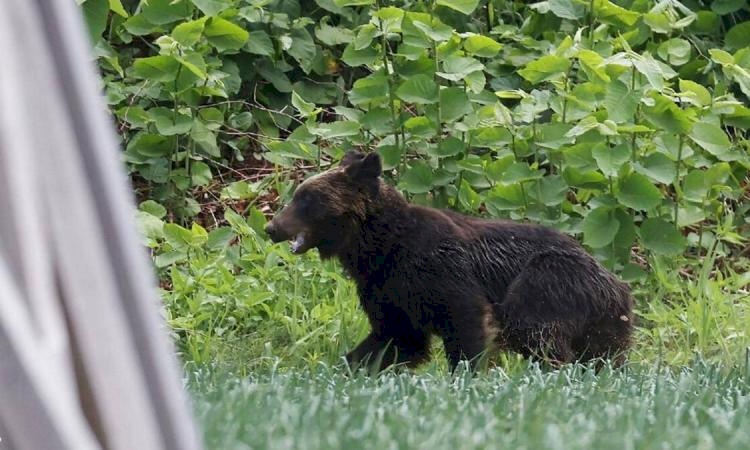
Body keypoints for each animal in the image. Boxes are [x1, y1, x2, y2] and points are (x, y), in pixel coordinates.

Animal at [264, 151, 636, 372]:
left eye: (307, 198)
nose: (271, 227)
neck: (380, 248)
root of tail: (616, 281)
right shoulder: (386, 290)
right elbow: (395, 339)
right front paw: (348, 366)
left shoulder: (440, 271)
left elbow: (466, 323)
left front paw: (466, 374)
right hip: (605, 323)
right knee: (603, 355)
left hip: (549, 280)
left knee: (534, 329)